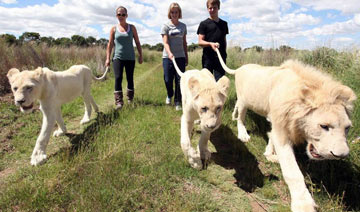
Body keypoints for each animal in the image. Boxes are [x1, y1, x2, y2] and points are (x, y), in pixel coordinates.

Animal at [215, 47, 356, 211]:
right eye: (324, 126)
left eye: (347, 128)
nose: (341, 155)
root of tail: (240, 68)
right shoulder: (281, 129)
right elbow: (292, 171)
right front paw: (303, 204)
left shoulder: (277, 121)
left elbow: (271, 137)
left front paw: (270, 153)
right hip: (245, 100)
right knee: (241, 118)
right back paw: (243, 134)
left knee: (237, 107)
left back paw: (233, 116)